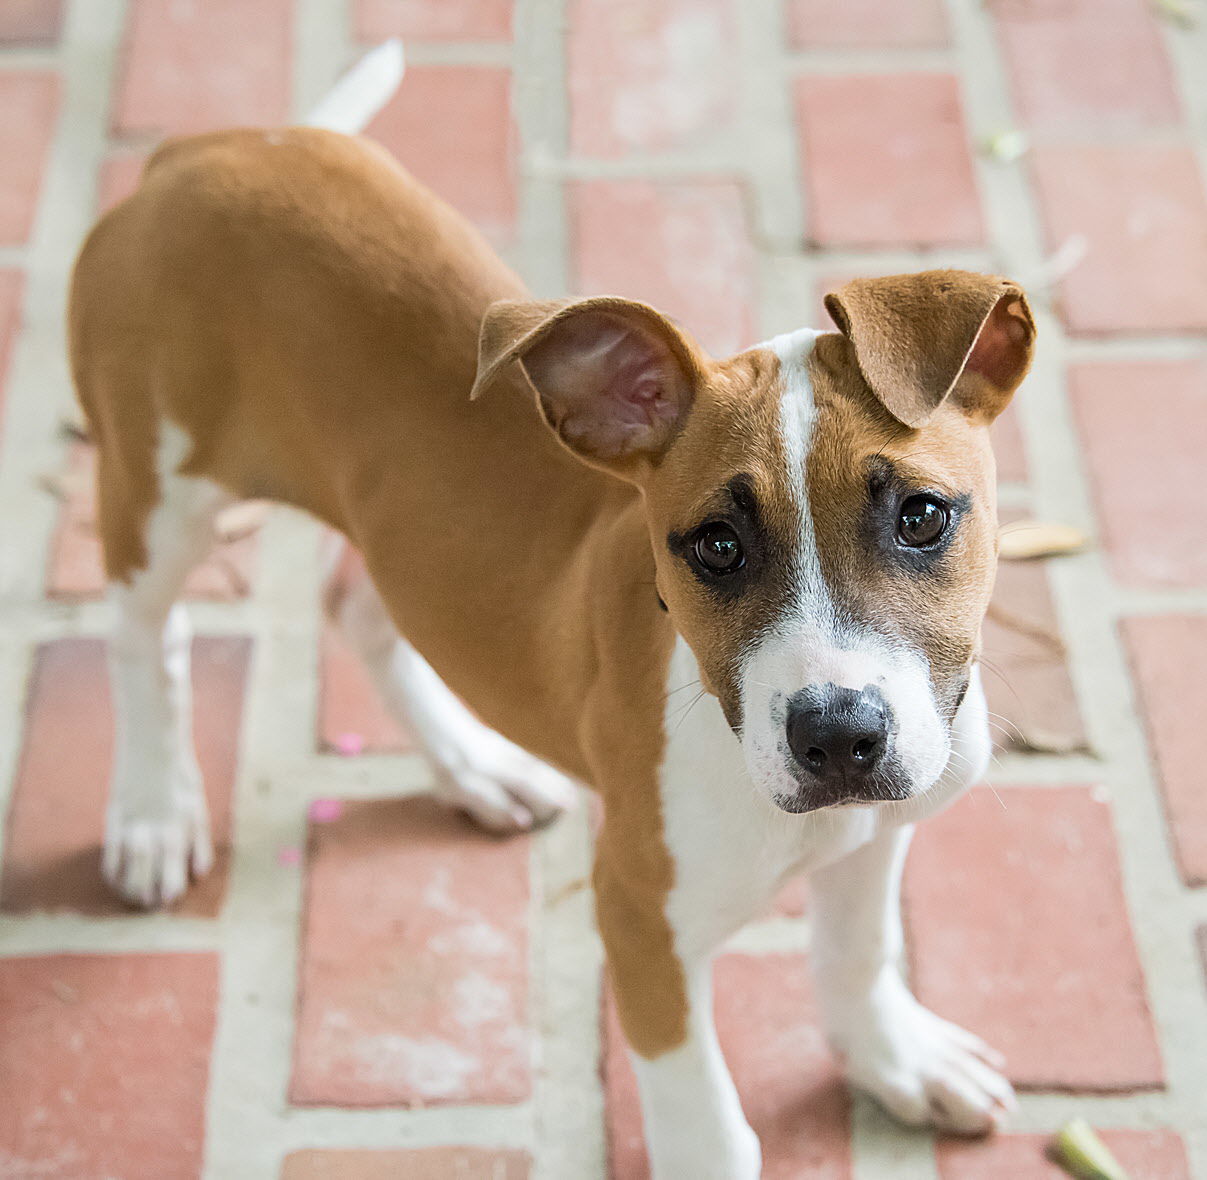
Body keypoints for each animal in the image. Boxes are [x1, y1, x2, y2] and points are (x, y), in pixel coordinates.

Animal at [70, 41, 1038, 1172]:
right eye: (715, 547)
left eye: (922, 516)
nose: (836, 736)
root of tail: (194, 155)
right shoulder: (641, 924)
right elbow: (707, 1126)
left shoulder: (878, 831)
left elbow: (858, 952)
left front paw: (896, 1059)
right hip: (156, 487)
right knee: (145, 631)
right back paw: (152, 811)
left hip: (396, 533)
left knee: (357, 600)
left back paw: (473, 766)